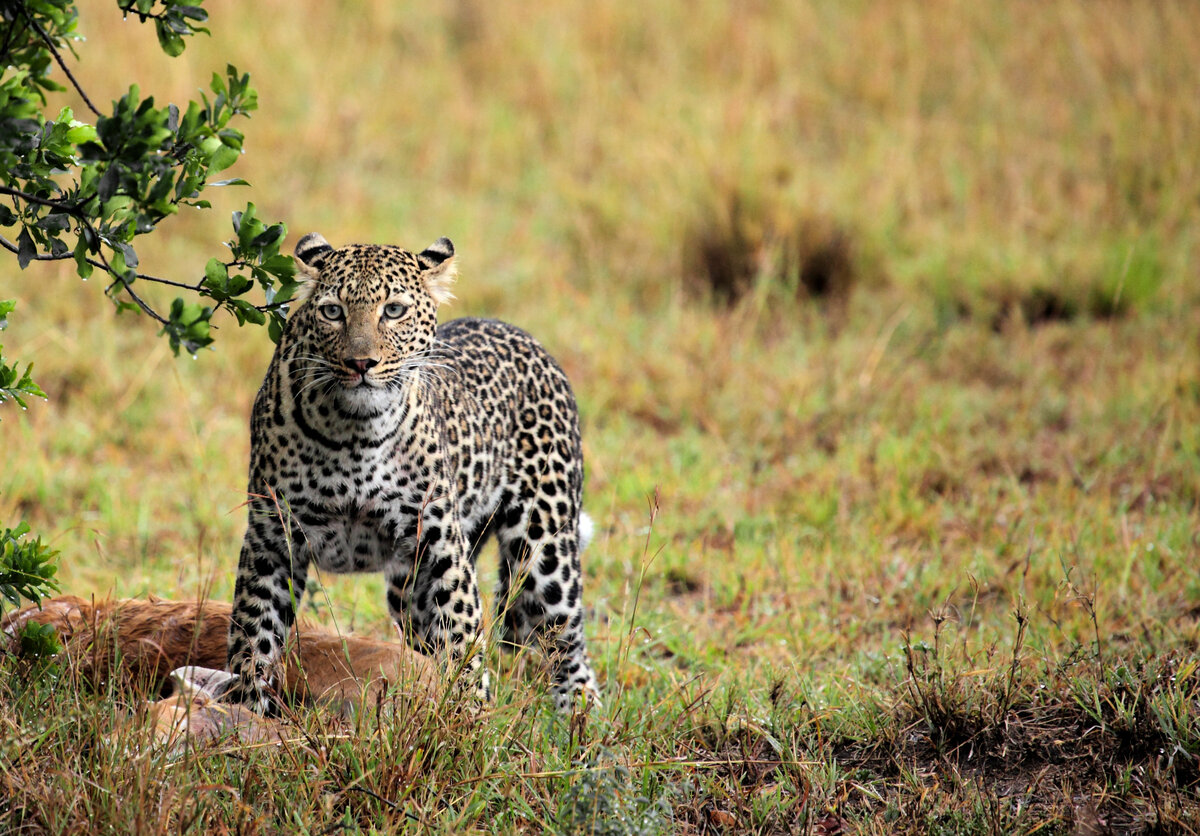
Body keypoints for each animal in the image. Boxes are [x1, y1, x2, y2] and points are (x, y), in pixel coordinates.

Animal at [225, 232, 600, 710]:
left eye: (394, 310)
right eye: (333, 311)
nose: (360, 363)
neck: (354, 432)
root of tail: (519, 333)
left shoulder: (443, 549)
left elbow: (463, 637)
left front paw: (469, 718)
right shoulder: (273, 540)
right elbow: (254, 634)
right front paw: (244, 711)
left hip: (544, 545)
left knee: (567, 638)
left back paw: (581, 715)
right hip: (407, 590)